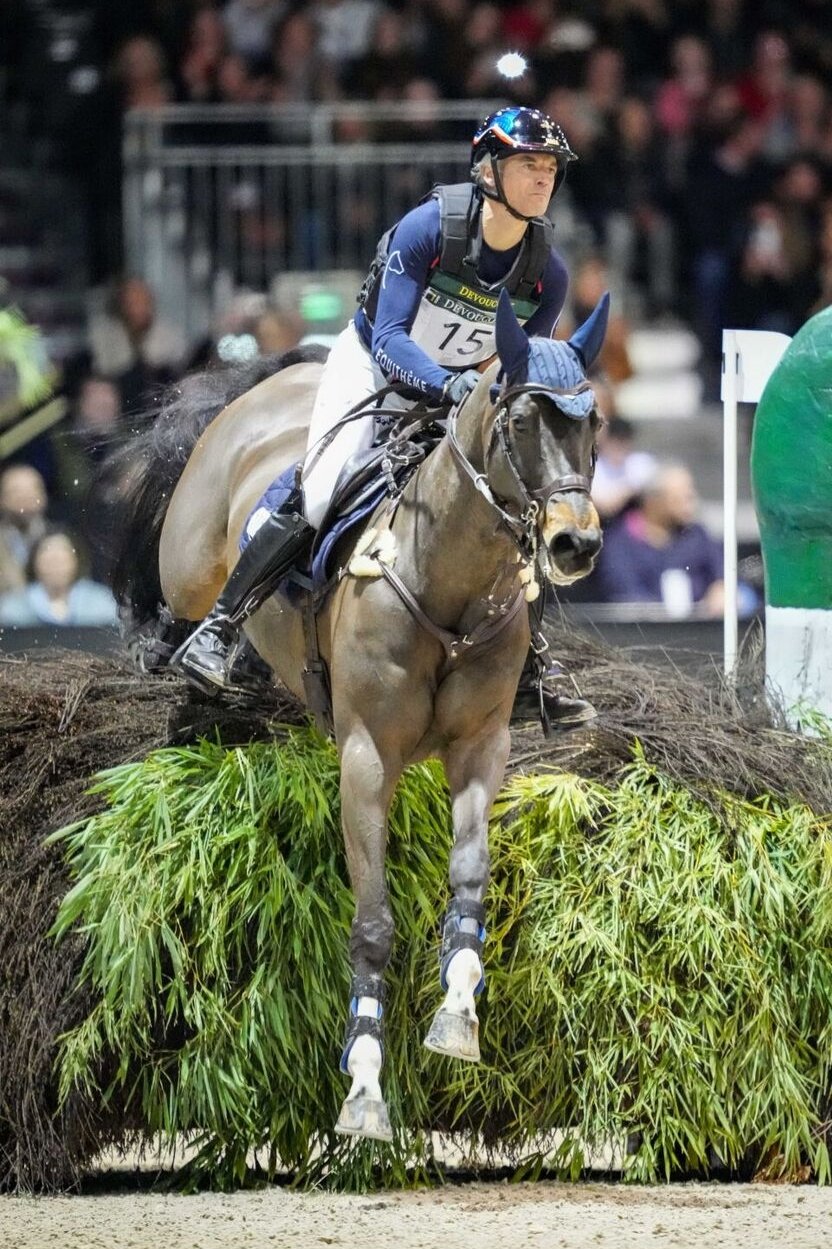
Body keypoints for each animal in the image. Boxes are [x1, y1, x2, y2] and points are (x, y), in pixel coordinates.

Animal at [113, 289, 602, 1144]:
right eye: (519, 422)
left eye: (593, 420)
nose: (575, 543)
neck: (445, 582)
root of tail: (274, 380)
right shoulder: (368, 758)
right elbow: (373, 923)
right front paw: (366, 1084)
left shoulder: (480, 748)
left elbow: (468, 885)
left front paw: (457, 1016)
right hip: (194, 562)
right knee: (199, 595)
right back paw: (190, 649)